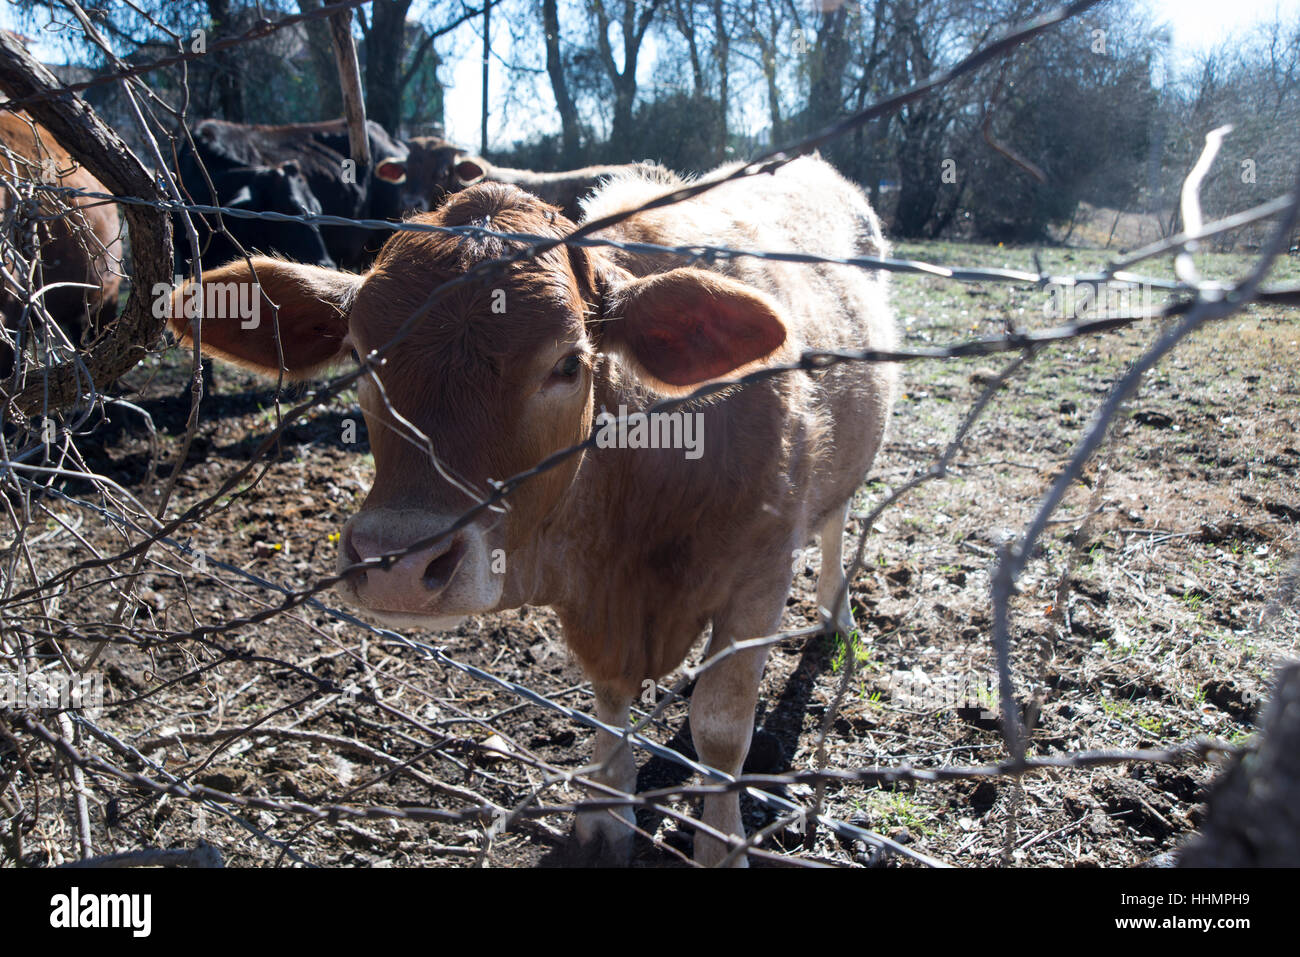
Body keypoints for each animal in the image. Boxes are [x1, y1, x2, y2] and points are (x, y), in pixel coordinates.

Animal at [170, 155, 898, 866]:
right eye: (360, 356)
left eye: (569, 363)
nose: (398, 565)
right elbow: (609, 697)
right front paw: (604, 816)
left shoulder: (759, 577)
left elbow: (721, 729)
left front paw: (721, 847)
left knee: (837, 521)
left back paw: (836, 610)